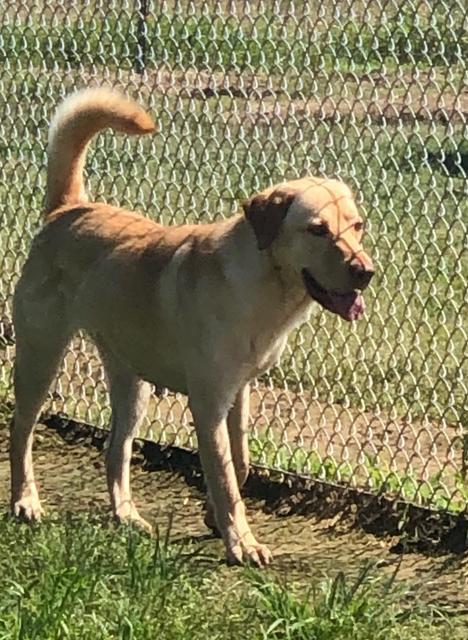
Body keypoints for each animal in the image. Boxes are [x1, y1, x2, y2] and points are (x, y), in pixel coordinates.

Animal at [10, 89, 372, 564]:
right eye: (317, 229)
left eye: (357, 226)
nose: (367, 272)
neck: (265, 286)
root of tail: (70, 208)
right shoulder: (208, 402)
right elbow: (222, 473)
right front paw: (241, 542)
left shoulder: (238, 393)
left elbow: (241, 462)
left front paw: (214, 518)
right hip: (41, 357)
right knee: (20, 431)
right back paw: (25, 501)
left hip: (132, 383)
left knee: (115, 449)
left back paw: (125, 515)